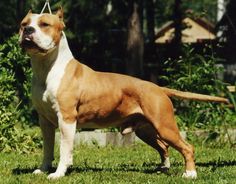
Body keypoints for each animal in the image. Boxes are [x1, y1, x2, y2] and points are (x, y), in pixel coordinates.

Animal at [18, 7, 229, 179]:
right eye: (24, 24)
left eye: (45, 24)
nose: (28, 31)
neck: (46, 67)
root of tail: (158, 87)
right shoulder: (45, 121)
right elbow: (47, 148)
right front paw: (43, 169)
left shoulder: (67, 119)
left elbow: (64, 149)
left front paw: (58, 173)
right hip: (147, 130)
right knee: (164, 146)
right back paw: (163, 168)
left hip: (165, 126)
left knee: (186, 147)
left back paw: (190, 173)